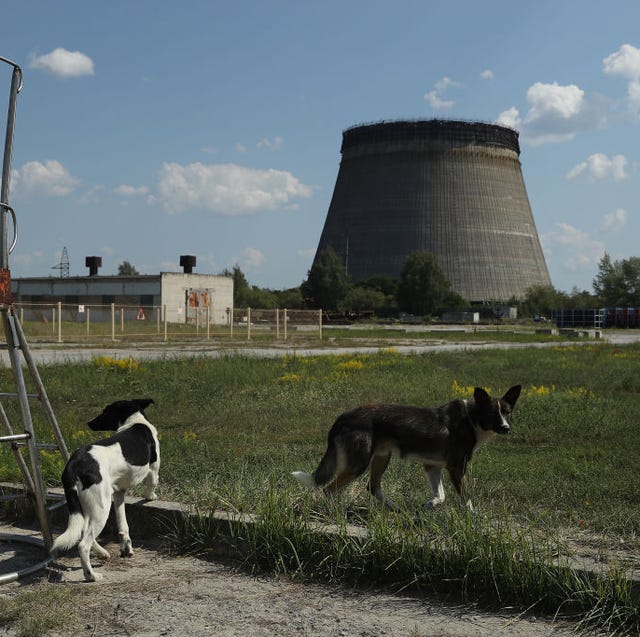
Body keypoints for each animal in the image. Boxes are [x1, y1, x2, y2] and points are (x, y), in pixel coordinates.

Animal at [51, 398, 159, 580]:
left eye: (106, 412)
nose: (89, 422)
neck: (134, 421)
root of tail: (74, 463)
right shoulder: (154, 467)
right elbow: (152, 482)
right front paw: (151, 496)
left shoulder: (119, 492)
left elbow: (123, 525)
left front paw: (127, 548)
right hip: (101, 506)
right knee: (83, 544)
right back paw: (91, 575)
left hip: (88, 506)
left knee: (84, 532)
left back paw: (103, 553)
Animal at [292, 382, 524, 512]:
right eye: (492, 414)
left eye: (508, 412)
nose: (506, 428)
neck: (472, 418)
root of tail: (343, 416)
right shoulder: (456, 467)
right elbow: (465, 496)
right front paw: (472, 516)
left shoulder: (432, 466)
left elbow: (441, 495)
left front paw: (430, 505)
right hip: (359, 463)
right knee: (329, 489)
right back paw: (333, 511)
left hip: (382, 457)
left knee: (373, 487)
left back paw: (395, 508)